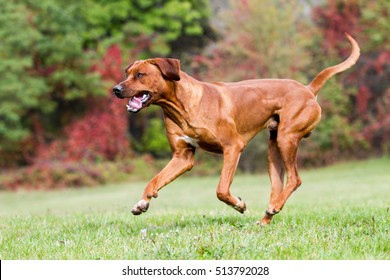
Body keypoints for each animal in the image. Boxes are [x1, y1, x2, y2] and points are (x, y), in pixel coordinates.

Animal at [112, 33, 360, 225]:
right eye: (127, 73)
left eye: (140, 75)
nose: (116, 89)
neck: (181, 106)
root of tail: (308, 89)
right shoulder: (182, 157)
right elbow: (154, 180)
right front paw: (142, 203)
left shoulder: (233, 146)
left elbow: (221, 189)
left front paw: (239, 204)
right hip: (274, 149)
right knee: (278, 185)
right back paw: (267, 216)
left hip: (287, 138)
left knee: (295, 179)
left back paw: (273, 208)